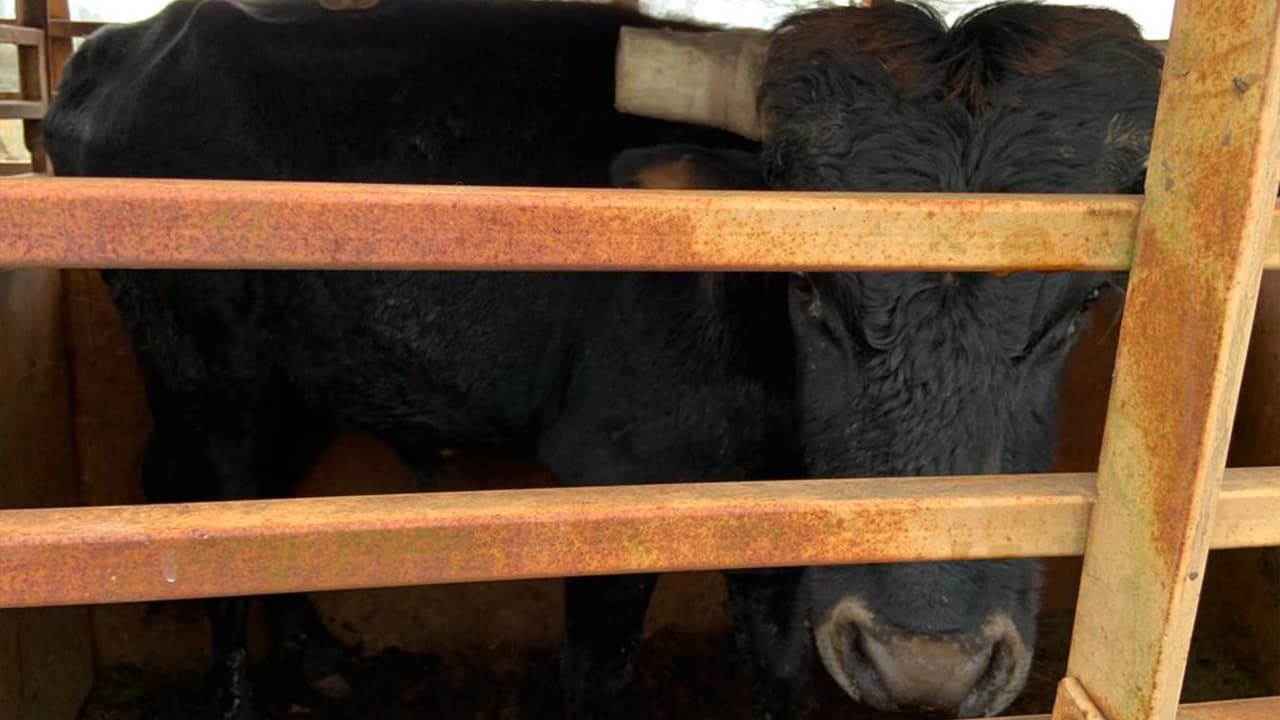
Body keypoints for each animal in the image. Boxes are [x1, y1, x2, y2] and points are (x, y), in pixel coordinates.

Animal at [42, 0, 1162, 719]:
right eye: (807, 284)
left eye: (1087, 300)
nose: (927, 667)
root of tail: (119, 49)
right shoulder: (610, 485)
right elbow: (599, 673)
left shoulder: (776, 514)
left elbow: (775, 663)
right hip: (215, 391)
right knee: (217, 540)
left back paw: (320, 659)